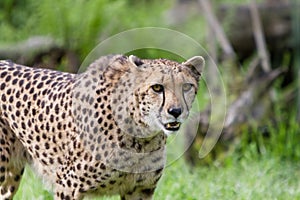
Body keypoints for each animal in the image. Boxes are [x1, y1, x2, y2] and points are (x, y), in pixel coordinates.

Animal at [0, 54, 204, 199]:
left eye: (186, 87)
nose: (176, 111)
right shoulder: (68, 186)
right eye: (157, 88)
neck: (142, 137)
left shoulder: (139, 190)